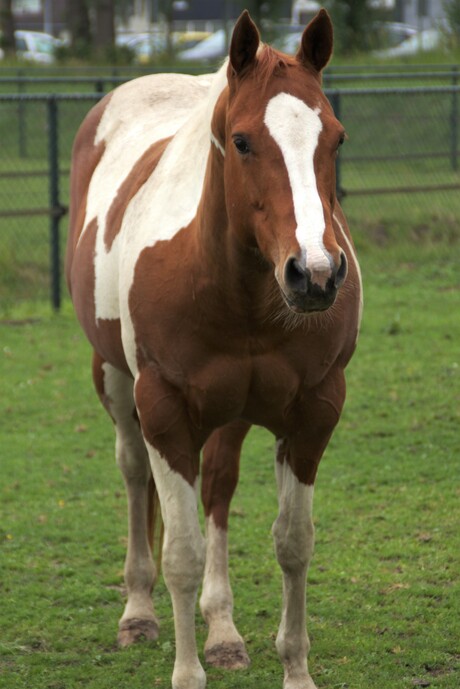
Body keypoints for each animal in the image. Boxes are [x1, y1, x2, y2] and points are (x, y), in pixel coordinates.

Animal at [65, 9, 362, 688]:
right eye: (245, 141)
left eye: (335, 139)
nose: (315, 274)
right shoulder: (165, 412)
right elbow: (180, 552)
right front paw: (185, 673)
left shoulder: (314, 413)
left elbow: (293, 542)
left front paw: (295, 670)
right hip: (116, 382)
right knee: (134, 475)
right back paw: (138, 613)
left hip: (231, 412)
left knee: (219, 487)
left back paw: (224, 632)